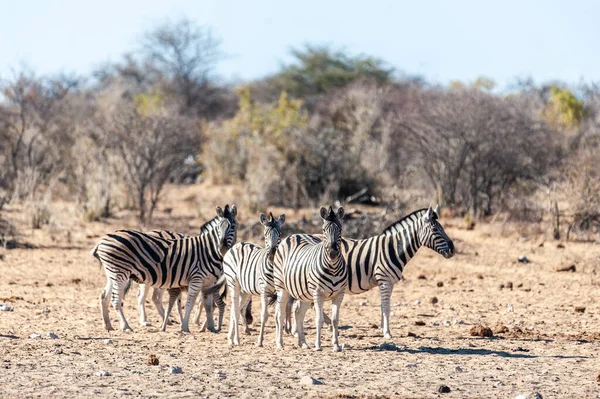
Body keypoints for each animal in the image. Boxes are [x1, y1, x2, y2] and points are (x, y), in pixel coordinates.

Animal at [91, 205, 237, 332]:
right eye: (219, 228)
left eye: (233, 227)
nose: (222, 248)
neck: (208, 250)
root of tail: (103, 239)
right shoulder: (197, 278)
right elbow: (190, 302)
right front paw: (185, 326)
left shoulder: (209, 282)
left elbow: (208, 305)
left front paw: (211, 327)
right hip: (120, 273)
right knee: (117, 299)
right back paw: (126, 326)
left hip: (113, 274)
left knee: (104, 296)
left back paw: (108, 325)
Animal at [204, 212, 286, 346]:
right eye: (265, 234)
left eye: (280, 233)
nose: (272, 255)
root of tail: (238, 244)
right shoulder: (264, 290)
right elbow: (264, 315)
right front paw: (260, 341)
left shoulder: (280, 291)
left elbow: (279, 315)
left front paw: (279, 342)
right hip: (234, 284)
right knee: (236, 311)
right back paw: (236, 340)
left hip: (246, 291)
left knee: (235, 309)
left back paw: (230, 338)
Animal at [274, 208, 344, 352]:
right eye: (323, 230)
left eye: (340, 229)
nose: (332, 253)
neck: (333, 268)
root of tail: (293, 235)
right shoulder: (318, 293)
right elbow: (319, 320)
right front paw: (318, 346)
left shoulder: (339, 294)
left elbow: (335, 320)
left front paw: (336, 345)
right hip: (281, 287)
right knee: (280, 314)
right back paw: (280, 344)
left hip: (304, 293)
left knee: (298, 313)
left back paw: (303, 343)